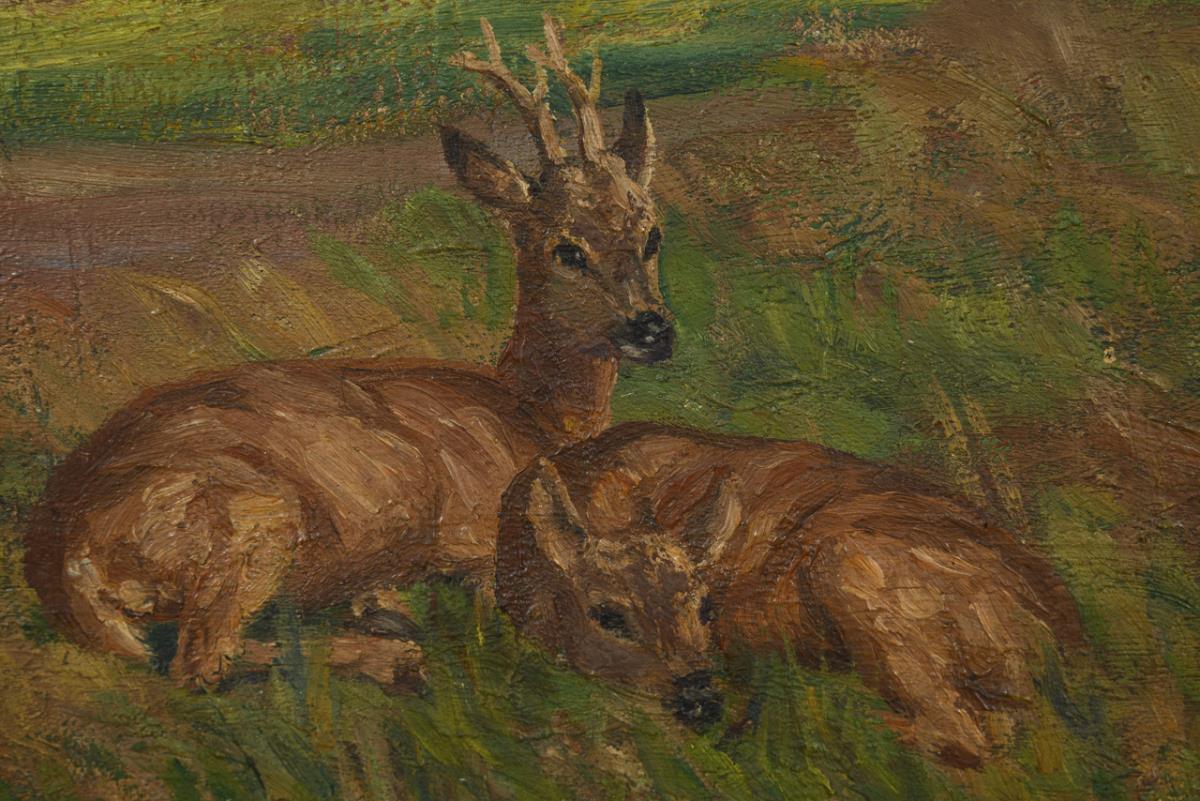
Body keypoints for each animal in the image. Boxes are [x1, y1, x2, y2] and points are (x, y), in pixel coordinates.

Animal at [23, 15, 673, 690]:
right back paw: (398, 654)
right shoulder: (476, 532)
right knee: (202, 662)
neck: (531, 414)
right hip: (255, 518)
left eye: (652, 234)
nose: (653, 329)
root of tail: (58, 557)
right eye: (566, 249)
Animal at [496, 422, 1084, 767]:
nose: (700, 700)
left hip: (852, 567)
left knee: (963, 735)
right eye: (607, 615)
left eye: (707, 608)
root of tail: (1060, 633)